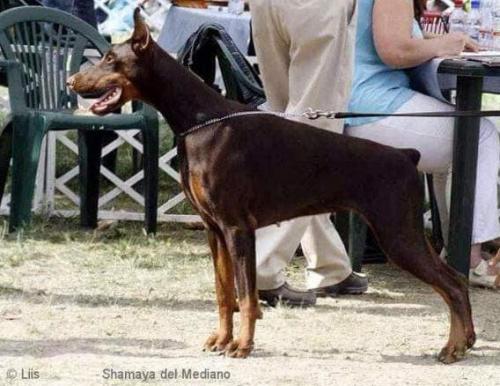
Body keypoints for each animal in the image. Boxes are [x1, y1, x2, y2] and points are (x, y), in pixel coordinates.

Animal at [68, 9, 474, 364]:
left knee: (452, 283)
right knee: (454, 280)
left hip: (397, 233)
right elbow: (224, 292)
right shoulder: (214, 230)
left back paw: (454, 345)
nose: (72, 81)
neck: (200, 120)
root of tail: (406, 155)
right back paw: (465, 340)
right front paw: (222, 339)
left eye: (110, 59)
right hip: (401, 232)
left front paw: (242, 345)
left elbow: (247, 296)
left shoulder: (237, 228)